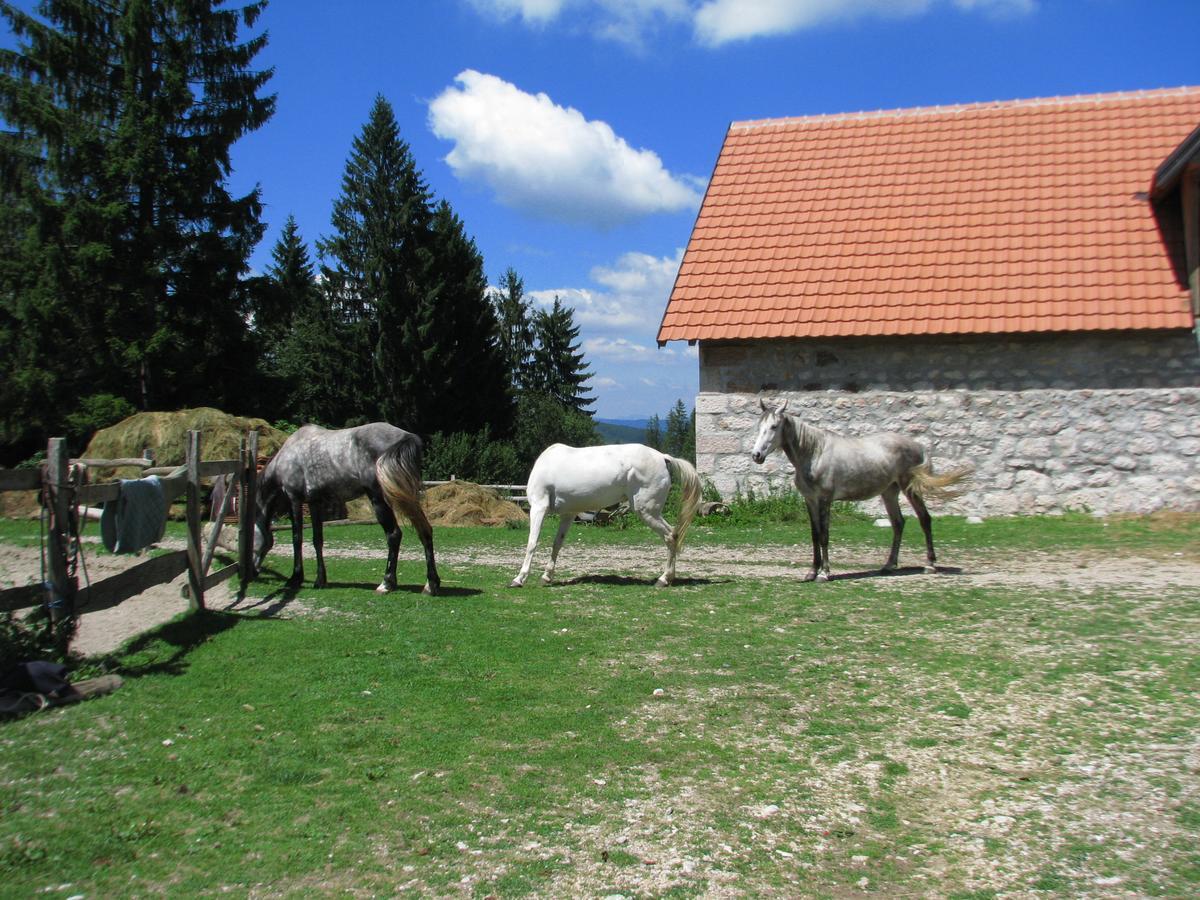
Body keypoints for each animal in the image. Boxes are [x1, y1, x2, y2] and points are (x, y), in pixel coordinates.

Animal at [253, 424, 441, 595]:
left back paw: (386, 583)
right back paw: (431, 584)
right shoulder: (314, 503)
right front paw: (320, 580)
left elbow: (297, 538)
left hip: (379, 499)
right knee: (425, 530)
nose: (253, 573)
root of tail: (406, 436)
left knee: (394, 534)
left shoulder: (294, 500)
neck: (287, 456)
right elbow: (317, 540)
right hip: (408, 496)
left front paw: (295, 578)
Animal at [508, 446, 700, 592]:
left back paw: (663, 579)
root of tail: (662, 457)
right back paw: (668, 578)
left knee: (669, 536)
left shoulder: (538, 507)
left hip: (647, 511)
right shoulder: (568, 514)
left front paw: (519, 579)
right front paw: (546, 576)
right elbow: (557, 544)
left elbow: (532, 543)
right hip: (652, 512)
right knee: (674, 535)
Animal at [748, 398, 974, 580]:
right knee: (898, 523)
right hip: (889, 492)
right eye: (759, 426)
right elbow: (814, 534)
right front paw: (812, 572)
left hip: (910, 488)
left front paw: (824, 573)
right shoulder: (810, 500)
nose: (756, 455)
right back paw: (888, 565)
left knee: (925, 519)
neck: (814, 453)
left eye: (774, 426)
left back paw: (930, 565)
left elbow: (824, 535)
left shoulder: (824, 500)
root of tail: (918, 446)